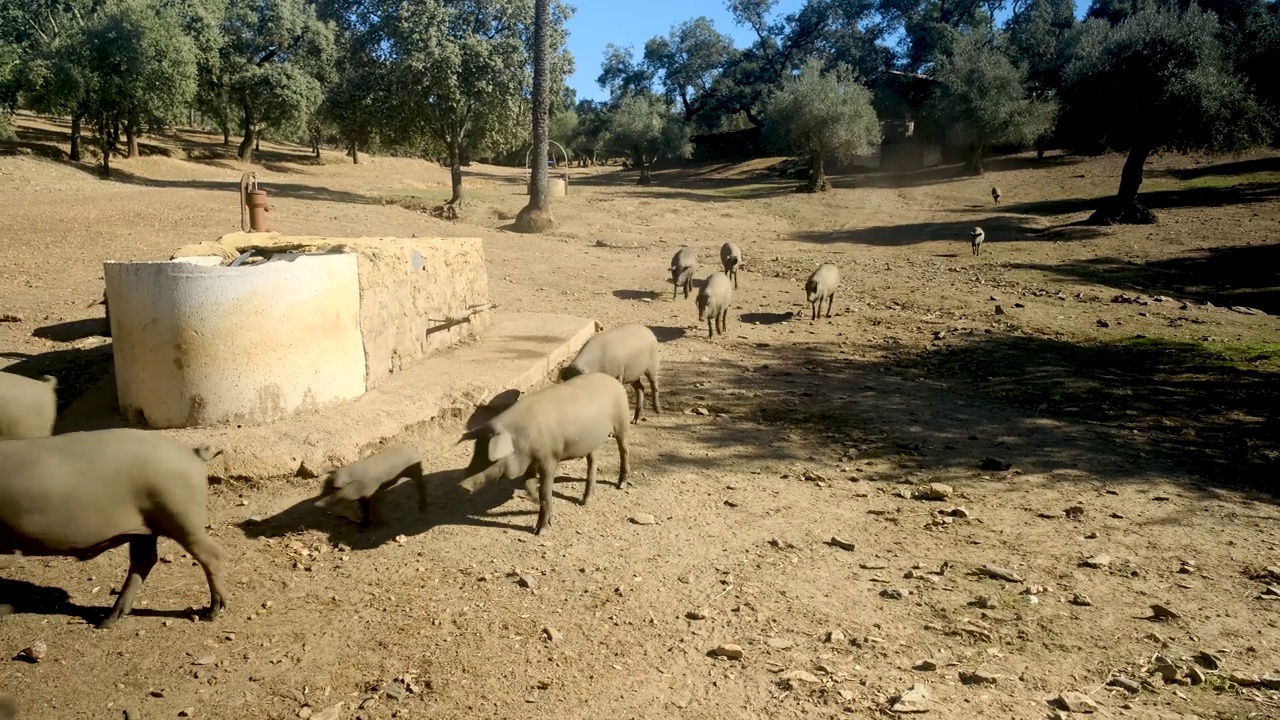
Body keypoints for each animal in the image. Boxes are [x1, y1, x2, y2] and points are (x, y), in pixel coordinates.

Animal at [0, 427, 227, 625]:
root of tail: (192, 453)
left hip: (182, 517)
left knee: (211, 555)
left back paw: (211, 612)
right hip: (145, 530)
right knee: (144, 561)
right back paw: (108, 620)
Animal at [460, 368, 629, 532]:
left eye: (491, 459)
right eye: (476, 452)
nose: (462, 486)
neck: (521, 440)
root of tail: (613, 379)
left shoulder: (549, 458)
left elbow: (545, 492)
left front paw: (540, 530)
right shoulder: (529, 461)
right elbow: (527, 483)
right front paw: (533, 501)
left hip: (622, 422)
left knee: (624, 451)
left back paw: (621, 485)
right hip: (591, 441)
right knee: (593, 462)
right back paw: (584, 501)